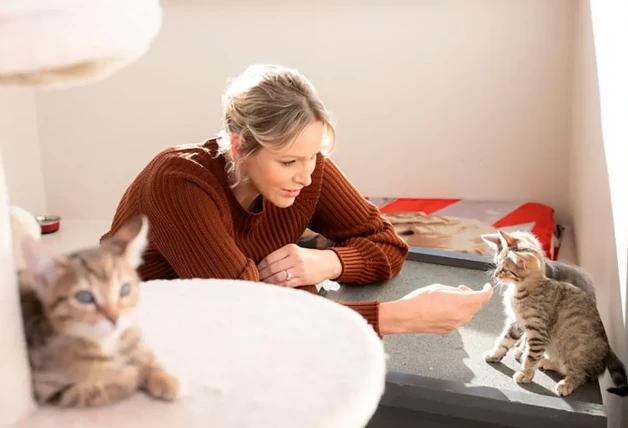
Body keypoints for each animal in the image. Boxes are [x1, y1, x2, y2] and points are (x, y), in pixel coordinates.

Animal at [17, 216, 179, 406]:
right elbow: (106, 386)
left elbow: (143, 354)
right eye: (84, 297)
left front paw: (164, 378)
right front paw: (131, 374)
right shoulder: (50, 388)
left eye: (124, 289)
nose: (114, 317)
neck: (107, 343)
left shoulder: (132, 331)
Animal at [480, 231, 624, 398]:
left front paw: (525, 374)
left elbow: (531, 357)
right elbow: (504, 340)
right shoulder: (517, 323)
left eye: (504, 269)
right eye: (497, 264)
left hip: (578, 349)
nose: (496, 274)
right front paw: (494, 354)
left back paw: (566, 383)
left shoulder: (538, 332)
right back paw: (547, 363)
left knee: (581, 374)